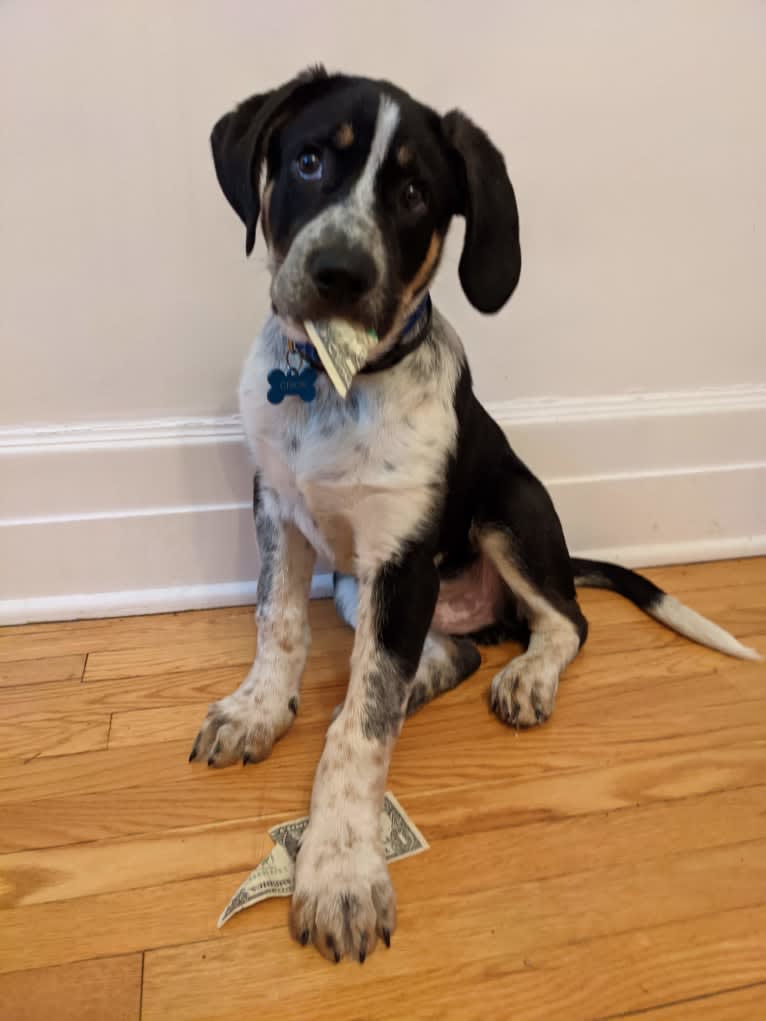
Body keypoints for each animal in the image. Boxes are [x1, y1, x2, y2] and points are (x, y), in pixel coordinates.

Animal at [193, 67, 763, 959]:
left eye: (414, 194)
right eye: (310, 160)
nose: (338, 273)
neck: (334, 382)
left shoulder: (401, 557)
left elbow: (360, 736)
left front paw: (342, 866)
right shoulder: (278, 508)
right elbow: (276, 626)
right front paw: (258, 709)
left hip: (506, 512)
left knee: (561, 622)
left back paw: (523, 675)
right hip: (364, 588)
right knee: (439, 655)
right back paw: (421, 676)